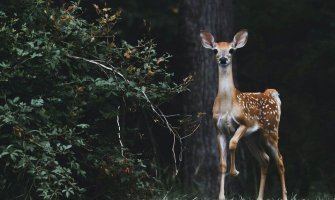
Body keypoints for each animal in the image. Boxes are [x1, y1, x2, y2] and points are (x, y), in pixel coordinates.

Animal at [201, 29, 288, 200]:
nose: (223, 59)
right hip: (252, 137)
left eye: (231, 50)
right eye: (215, 50)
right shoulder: (219, 130)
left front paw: (235, 172)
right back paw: (259, 197)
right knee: (264, 159)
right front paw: (221, 196)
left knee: (280, 160)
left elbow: (233, 143)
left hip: (271, 129)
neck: (228, 104)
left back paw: (285, 196)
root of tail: (271, 94)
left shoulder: (245, 123)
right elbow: (222, 164)